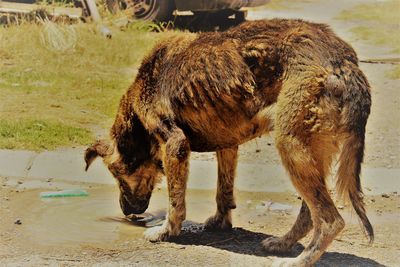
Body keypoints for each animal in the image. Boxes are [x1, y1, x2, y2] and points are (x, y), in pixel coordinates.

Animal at [85, 19, 376, 267]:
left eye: (116, 174)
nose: (126, 212)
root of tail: (344, 60)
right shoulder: (227, 144)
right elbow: (223, 190)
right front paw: (220, 221)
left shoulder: (175, 144)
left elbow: (175, 201)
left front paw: (167, 231)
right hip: (313, 152)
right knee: (309, 213)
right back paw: (283, 243)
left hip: (291, 145)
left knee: (330, 220)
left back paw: (299, 260)